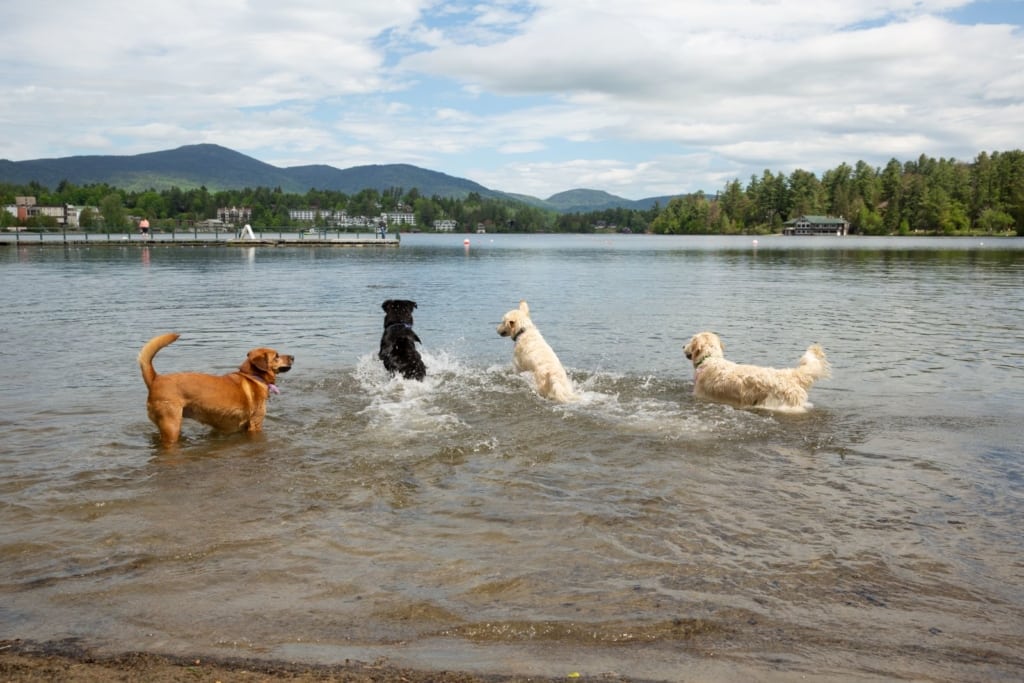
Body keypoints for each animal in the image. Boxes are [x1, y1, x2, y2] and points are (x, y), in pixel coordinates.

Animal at [138, 333, 294, 446]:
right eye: (277, 356)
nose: (293, 356)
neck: (252, 376)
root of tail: (156, 378)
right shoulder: (255, 424)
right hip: (171, 425)